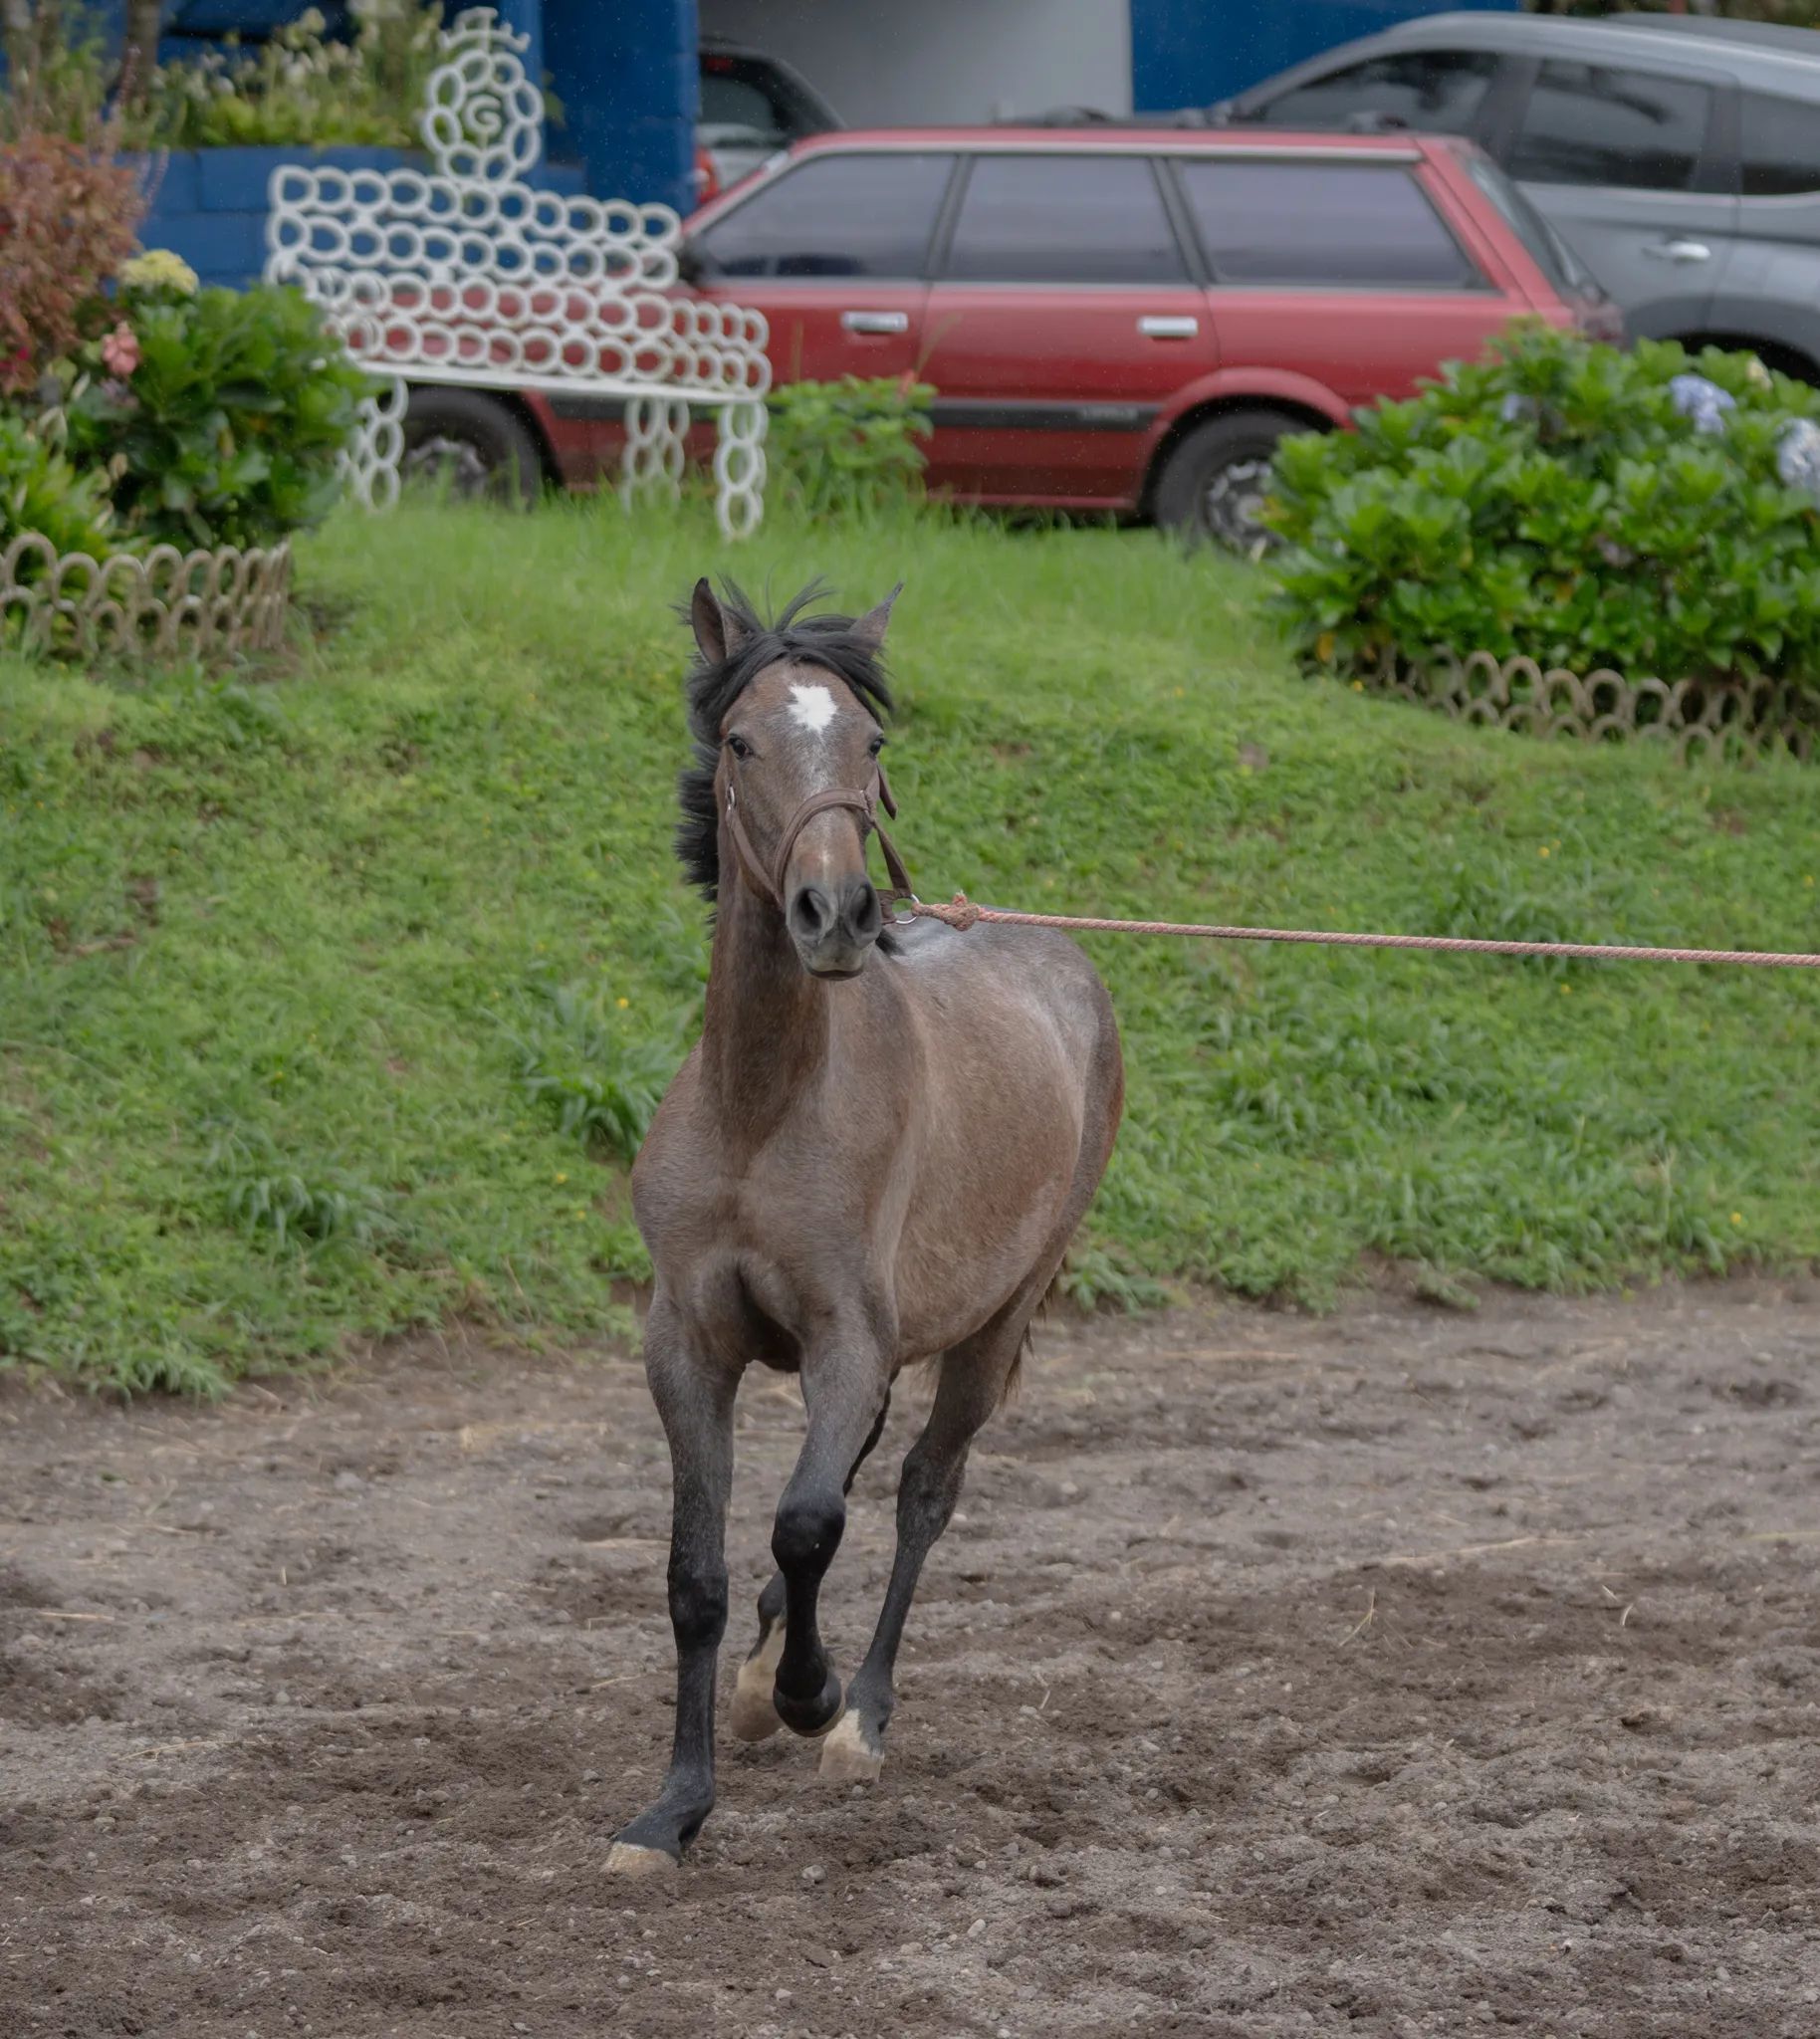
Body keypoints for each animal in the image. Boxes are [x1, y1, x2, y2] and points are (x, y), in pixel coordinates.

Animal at [606, 578, 1124, 1877]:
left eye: (872, 743)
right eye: (743, 741)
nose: (834, 910)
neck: (763, 1107)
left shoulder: (848, 1339)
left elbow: (806, 1521)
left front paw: (810, 1691)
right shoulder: (687, 1344)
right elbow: (696, 1573)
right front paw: (673, 1808)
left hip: (998, 1317)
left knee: (920, 1492)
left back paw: (861, 1715)